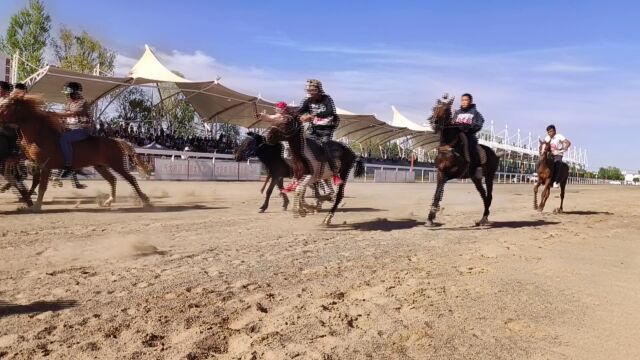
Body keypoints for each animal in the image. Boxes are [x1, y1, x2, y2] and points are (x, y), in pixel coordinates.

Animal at [0, 95, 152, 211]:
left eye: (6, 106)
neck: (40, 135)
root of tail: (116, 141)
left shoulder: (45, 166)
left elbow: (42, 186)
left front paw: (36, 206)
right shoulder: (30, 160)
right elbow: (16, 168)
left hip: (117, 164)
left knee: (130, 179)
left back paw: (145, 200)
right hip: (100, 166)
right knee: (112, 179)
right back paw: (108, 201)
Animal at [428, 97, 502, 228]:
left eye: (446, 110)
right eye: (434, 108)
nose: (435, 123)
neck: (450, 146)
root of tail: (494, 154)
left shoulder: (454, 173)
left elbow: (440, 189)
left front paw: (433, 214)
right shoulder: (440, 172)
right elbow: (437, 193)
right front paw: (431, 217)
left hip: (489, 176)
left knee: (489, 196)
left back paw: (484, 218)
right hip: (476, 178)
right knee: (483, 195)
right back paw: (482, 219)